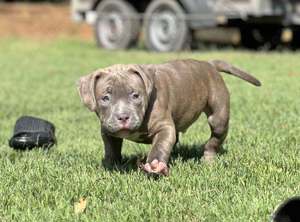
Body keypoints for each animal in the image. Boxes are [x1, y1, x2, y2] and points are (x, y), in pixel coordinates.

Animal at [77, 58, 260, 175]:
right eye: (105, 98)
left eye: (135, 95)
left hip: (218, 117)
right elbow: (111, 149)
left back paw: (208, 159)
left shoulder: (164, 127)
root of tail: (208, 63)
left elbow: (159, 146)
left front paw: (155, 164)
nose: (123, 117)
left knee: (214, 139)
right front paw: (111, 165)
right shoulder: (108, 130)